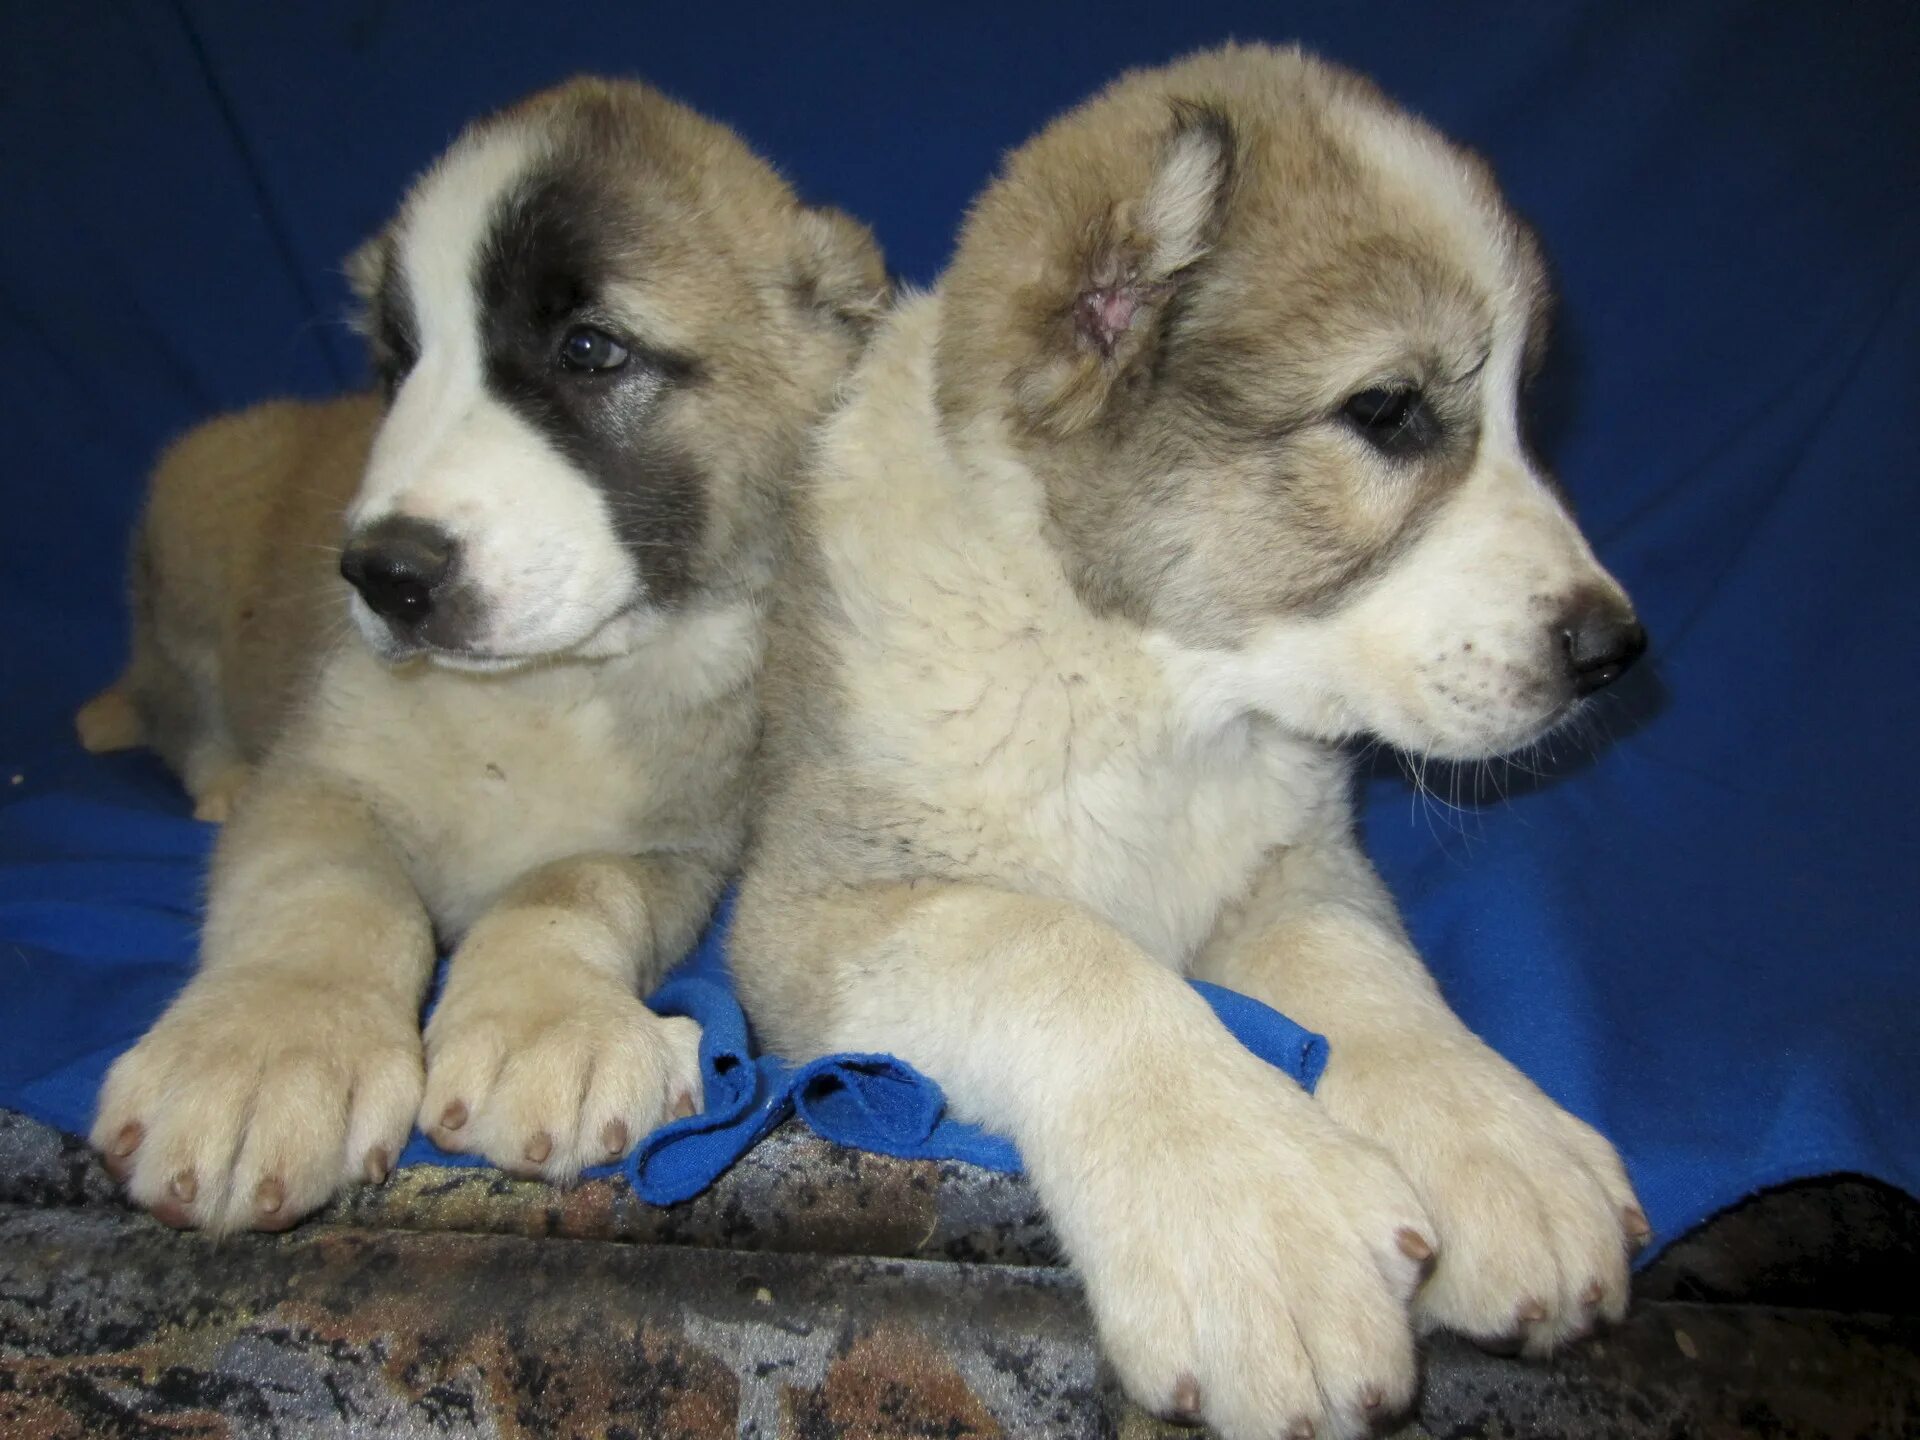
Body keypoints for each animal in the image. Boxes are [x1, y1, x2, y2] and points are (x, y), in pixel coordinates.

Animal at [74, 76, 883, 1244]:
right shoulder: (320, 779)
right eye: (397, 364)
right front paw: (266, 1050)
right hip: (183, 545)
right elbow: (328, 893)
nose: (384, 574)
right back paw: (215, 772)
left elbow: (568, 889)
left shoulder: (674, 848)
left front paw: (550, 1024)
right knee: (176, 706)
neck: (542, 695)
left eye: (588, 350)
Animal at [733, 45, 1651, 1440]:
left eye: (1521, 416)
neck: (1149, 693)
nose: (1615, 650)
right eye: (1387, 411)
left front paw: (1493, 1139)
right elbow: (1055, 946)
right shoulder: (811, 916)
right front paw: (1255, 1216)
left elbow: (1361, 968)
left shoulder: (1293, 860)